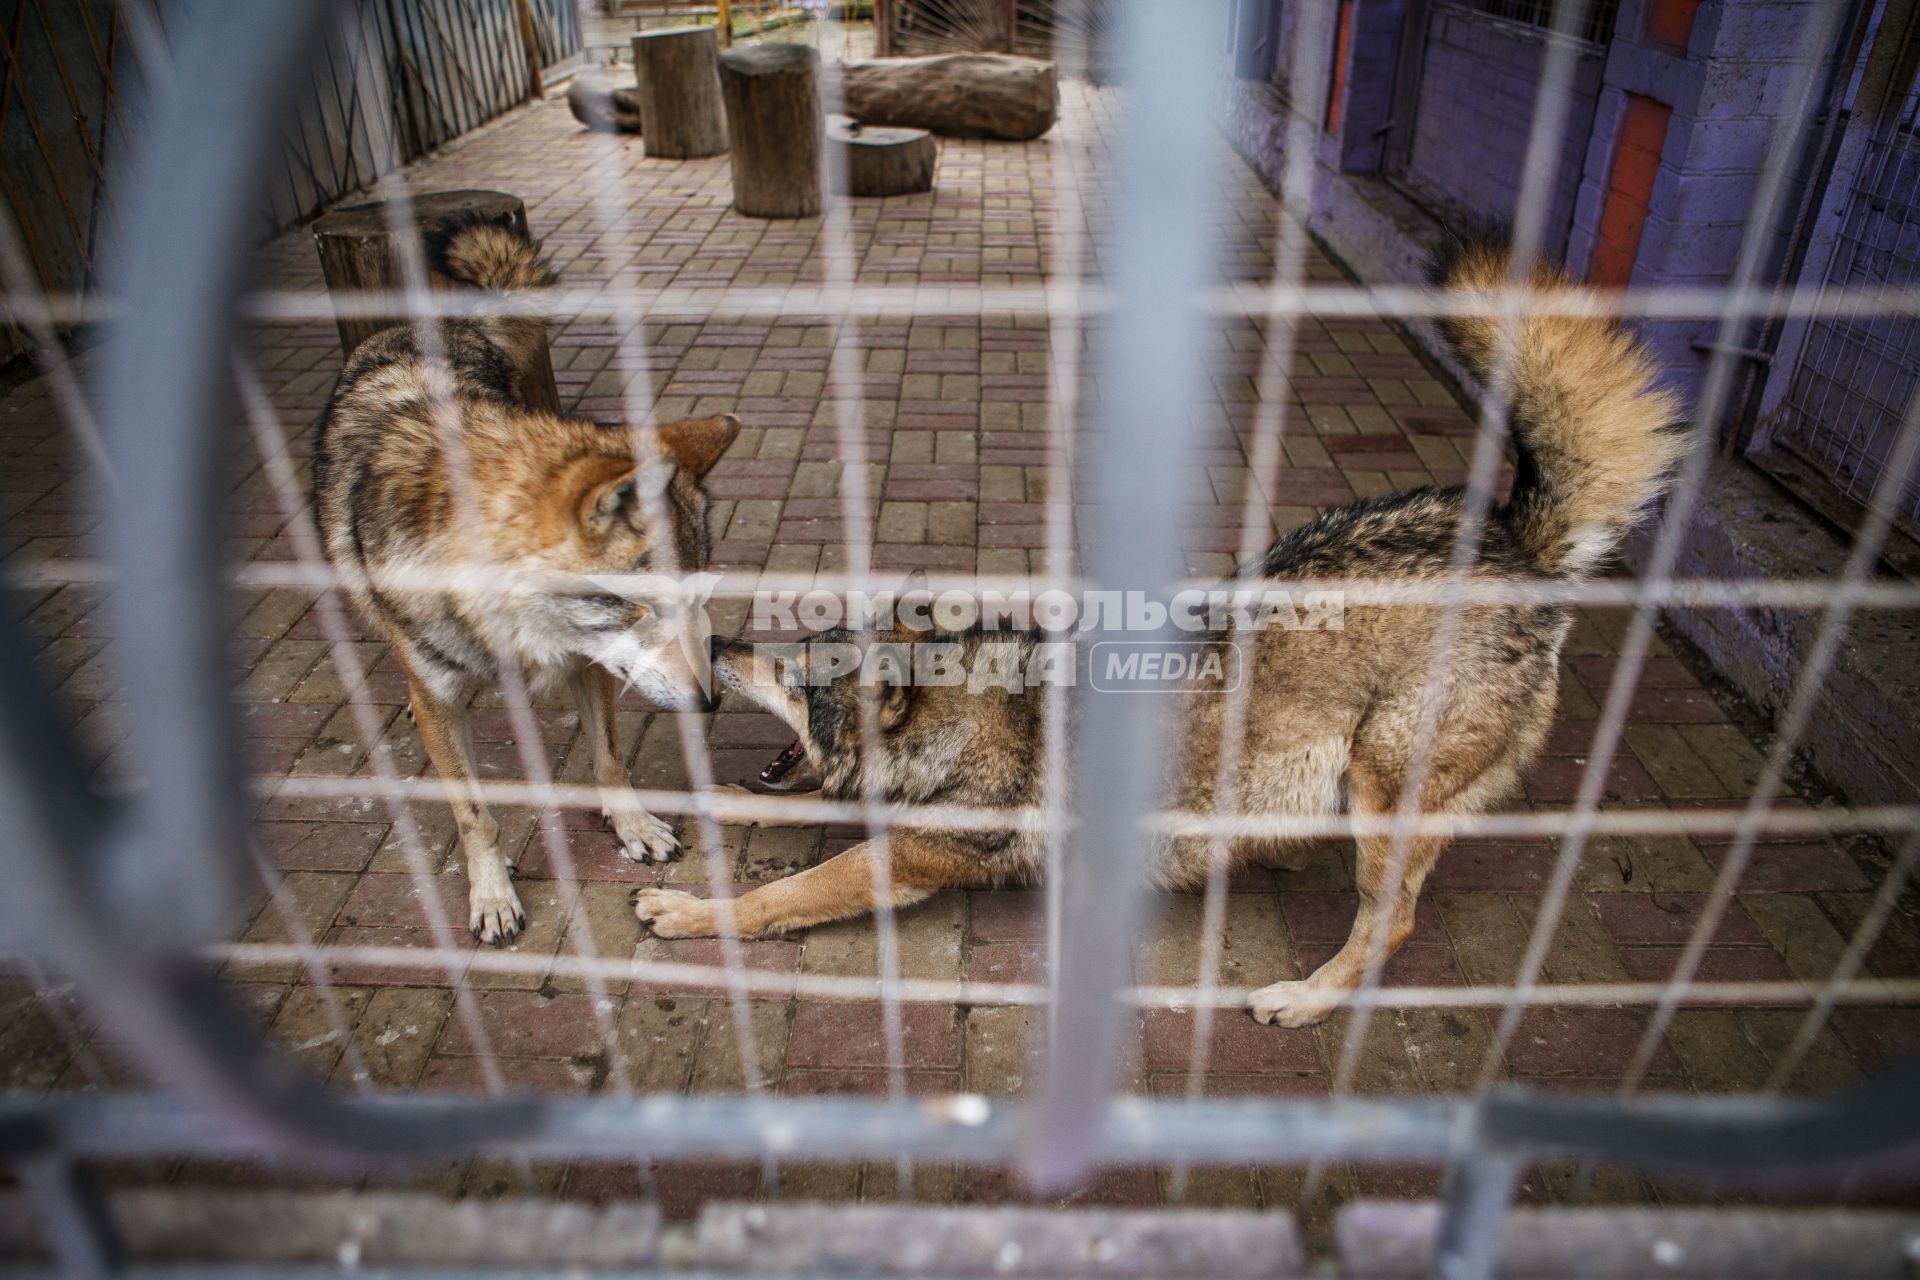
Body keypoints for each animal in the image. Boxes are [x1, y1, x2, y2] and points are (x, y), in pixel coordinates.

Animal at [311, 214, 737, 948]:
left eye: (698, 599)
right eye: (639, 605)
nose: (710, 702)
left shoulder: (590, 664)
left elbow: (610, 758)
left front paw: (633, 826)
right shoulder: (444, 697)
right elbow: (474, 813)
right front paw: (491, 895)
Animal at [637, 242, 1689, 1028]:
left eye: (794, 674)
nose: (722, 650)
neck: (968, 720)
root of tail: (1514, 541)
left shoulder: (904, 861)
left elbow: (780, 894)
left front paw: (688, 911)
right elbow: (778, 811)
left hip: (1382, 797)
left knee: (1389, 924)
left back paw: (1304, 1000)